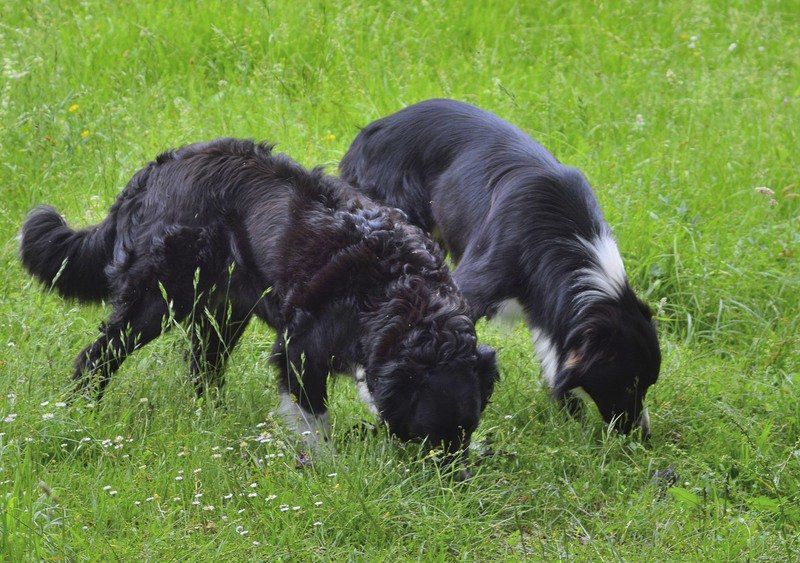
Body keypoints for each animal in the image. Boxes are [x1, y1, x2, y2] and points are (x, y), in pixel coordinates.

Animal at [21, 138, 496, 458]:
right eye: (431, 437)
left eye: (469, 430)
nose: (454, 482)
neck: (399, 293)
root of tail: (155, 172)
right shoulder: (299, 349)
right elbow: (313, 421)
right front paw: (328, 468)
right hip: (158, 299)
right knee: (97, 356)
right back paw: (81, 413)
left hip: (226, 308)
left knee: (203, 367)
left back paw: (213, 420)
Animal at [340, 99, 660, 438]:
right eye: (629, 384)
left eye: (648, 384)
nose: (643, 436)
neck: (567, 246)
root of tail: (373, 128)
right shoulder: (473, 283)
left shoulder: (544, 308)